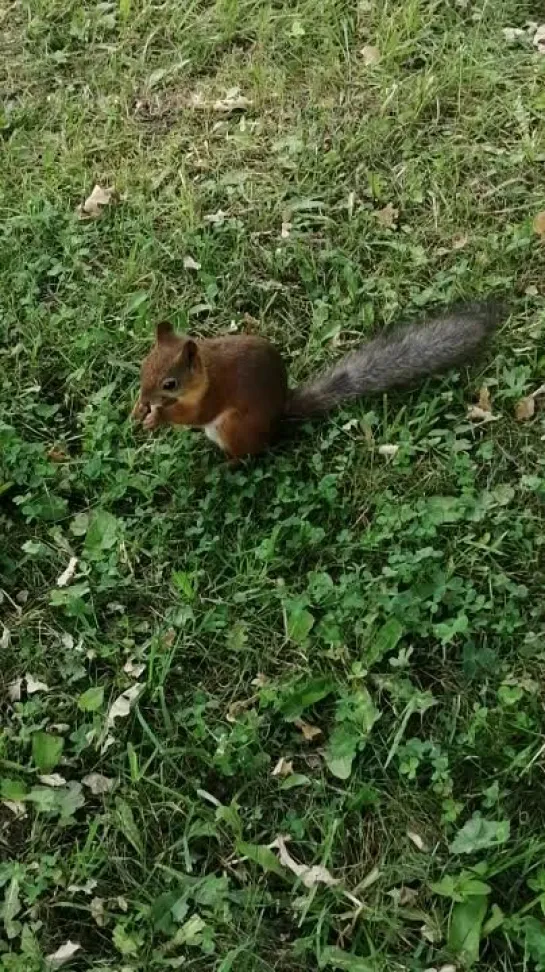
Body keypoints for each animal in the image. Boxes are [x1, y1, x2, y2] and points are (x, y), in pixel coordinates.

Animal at [132, 300, 502, 460]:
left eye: (170, 384)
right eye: (143, 367)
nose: (147, 398)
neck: (205, 370)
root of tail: (279, 416)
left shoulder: (215, 392)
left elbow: (194, 415)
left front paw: (158, 417)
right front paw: (139, 409)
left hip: (233, 428)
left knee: (246, 455)